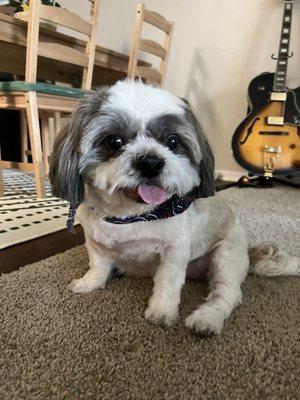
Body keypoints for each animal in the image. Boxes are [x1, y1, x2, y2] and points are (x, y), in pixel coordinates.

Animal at [49, 79, 298, 334]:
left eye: (173, 141)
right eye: (114, 141)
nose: (151, 161)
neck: (131, 216)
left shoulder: (174, 250)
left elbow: (167, 283)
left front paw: (161, 313)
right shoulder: (95, 242)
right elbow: (98, 266)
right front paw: (90, 283)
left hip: (227, 255)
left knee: (226, 293)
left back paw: (208, 318)